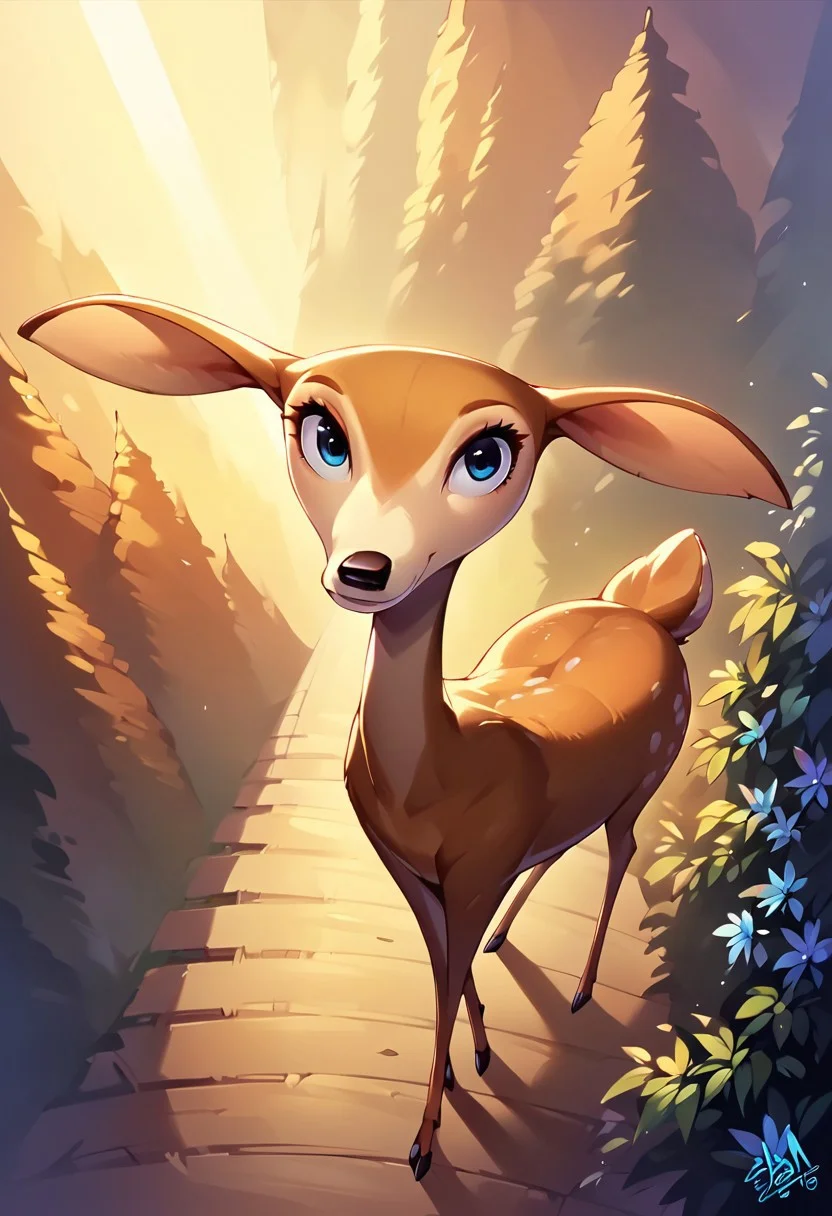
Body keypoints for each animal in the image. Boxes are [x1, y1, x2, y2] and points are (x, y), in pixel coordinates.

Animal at [19, 294, 790, 1181]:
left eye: (488, 455)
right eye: (321, 431)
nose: (364, 568)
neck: (439, 779)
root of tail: (650, 611)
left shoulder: (477, 862)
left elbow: (447, 976)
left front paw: (426, 1139)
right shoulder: (410, 866)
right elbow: (440, 967)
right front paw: (470, 1062)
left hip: (653, 765)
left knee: (621, 849)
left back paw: (581, 989)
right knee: (565, 845)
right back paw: (508, 941)